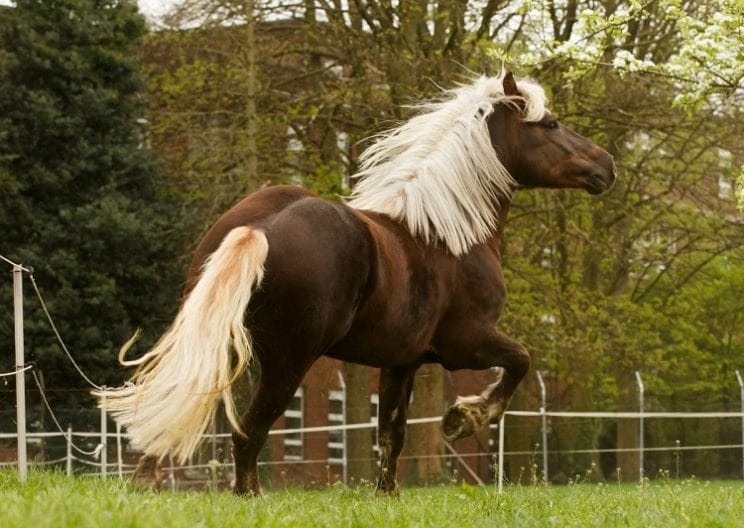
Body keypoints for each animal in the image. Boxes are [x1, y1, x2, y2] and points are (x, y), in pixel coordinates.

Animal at [99, 72, 612, 498]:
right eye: (551, 124)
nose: (607, 165)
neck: (445, 234)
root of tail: (260, 229)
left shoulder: (402, 361)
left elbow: (392, 432)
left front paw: (389, 494)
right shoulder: (466, 344)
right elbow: (520, 362)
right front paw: (465, 417)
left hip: (221, 347)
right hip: (288, 361)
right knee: (249, 431)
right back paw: (250, 495)